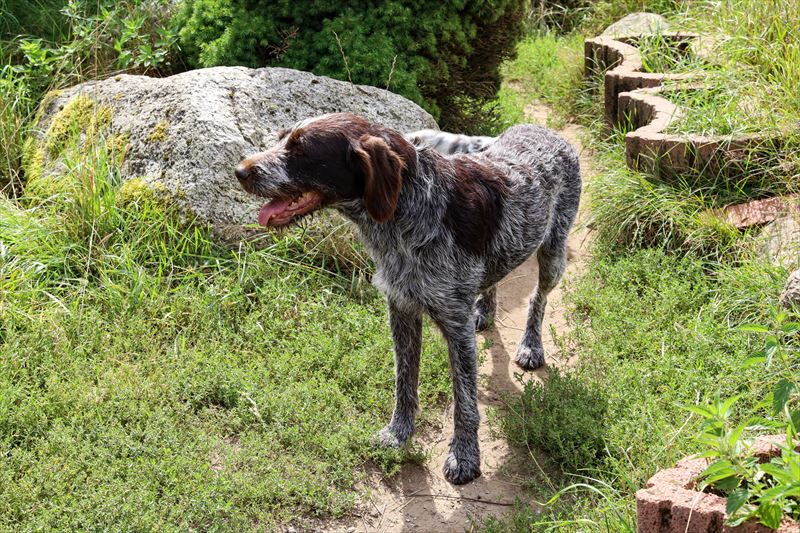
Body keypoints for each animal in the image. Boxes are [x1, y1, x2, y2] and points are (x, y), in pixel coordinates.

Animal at [234, 114, 580, 484]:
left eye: (301, 150)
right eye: (281, 138)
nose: (239, 171)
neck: (410, 208)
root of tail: (541, 130)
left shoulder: (455, 324)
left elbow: (464, 401)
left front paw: (465, 455)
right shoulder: (401, 308)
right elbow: (404, 380)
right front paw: (398, 432)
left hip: (554, 254)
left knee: (538, 299)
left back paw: (531, 345)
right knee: (494, 280)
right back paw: (484, 310)